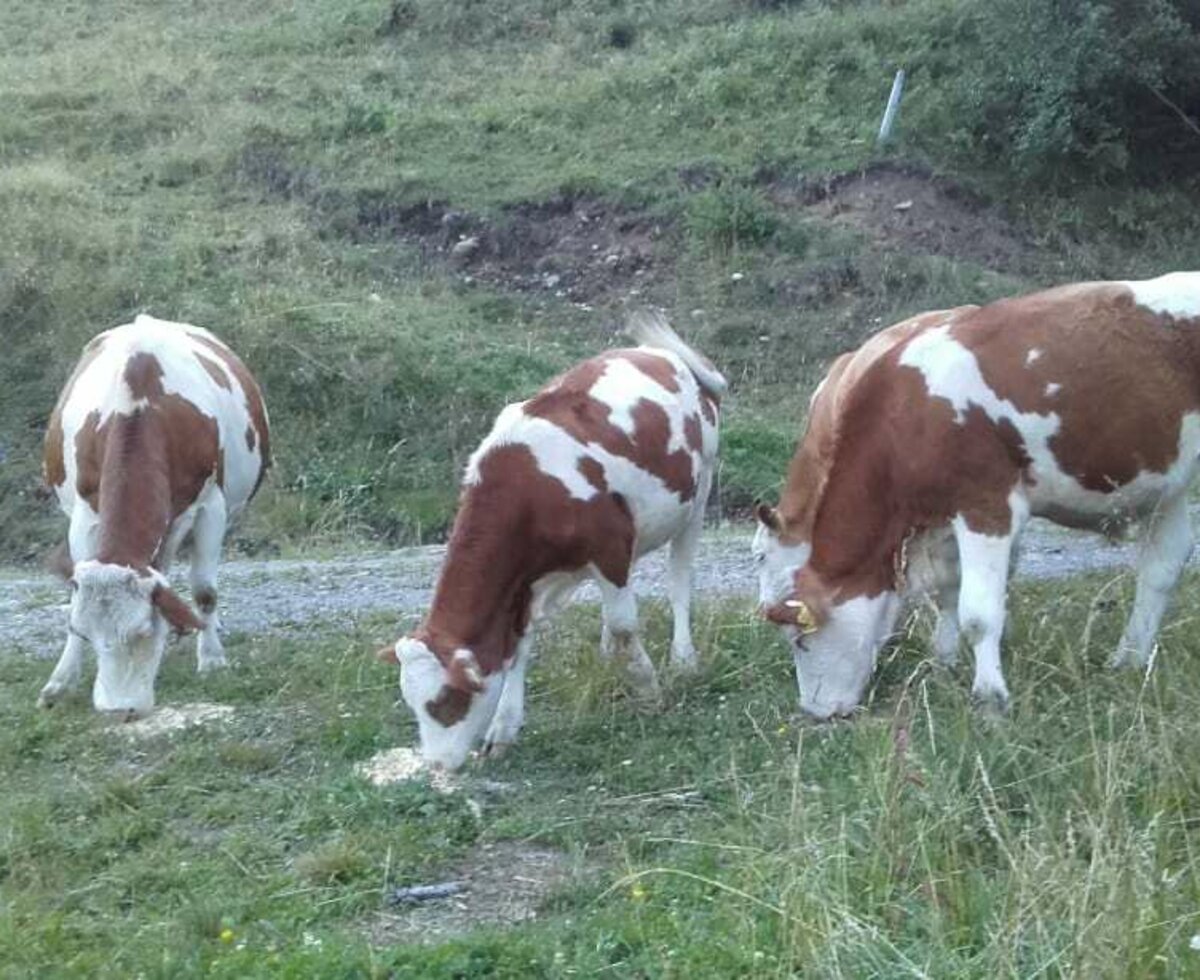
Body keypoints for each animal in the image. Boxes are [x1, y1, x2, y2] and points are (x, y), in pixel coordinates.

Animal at [41, 316, 270, 714]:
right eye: (86, 633)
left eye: (142, 631)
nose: (119, 709)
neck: (137, 408)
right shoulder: (83, 515)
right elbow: (74, 598)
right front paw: (61, 679)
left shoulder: (209, 505)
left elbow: (204, 589)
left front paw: (211, 658)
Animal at [379, 314, 724, 772]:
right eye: (412, 703)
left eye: (447, 700)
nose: (438, 766)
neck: (525, 487)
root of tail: (660, 354)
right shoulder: (525, 579)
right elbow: (517, 647)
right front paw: (504, 728)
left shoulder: (609, 547)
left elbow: (625, 624)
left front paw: (648, 688)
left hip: (697, 500)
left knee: (679, 581)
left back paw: (683, 659)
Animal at [753, 275, 1195, 719]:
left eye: (801, 640)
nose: (814, 711)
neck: (906, 411)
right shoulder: (945, 517)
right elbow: (951, 588)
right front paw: (944, 664)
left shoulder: (986, 504)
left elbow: (979, 611)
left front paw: (990, 699)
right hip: (1172, 485)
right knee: (1161, 570)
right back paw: (1130, 660)